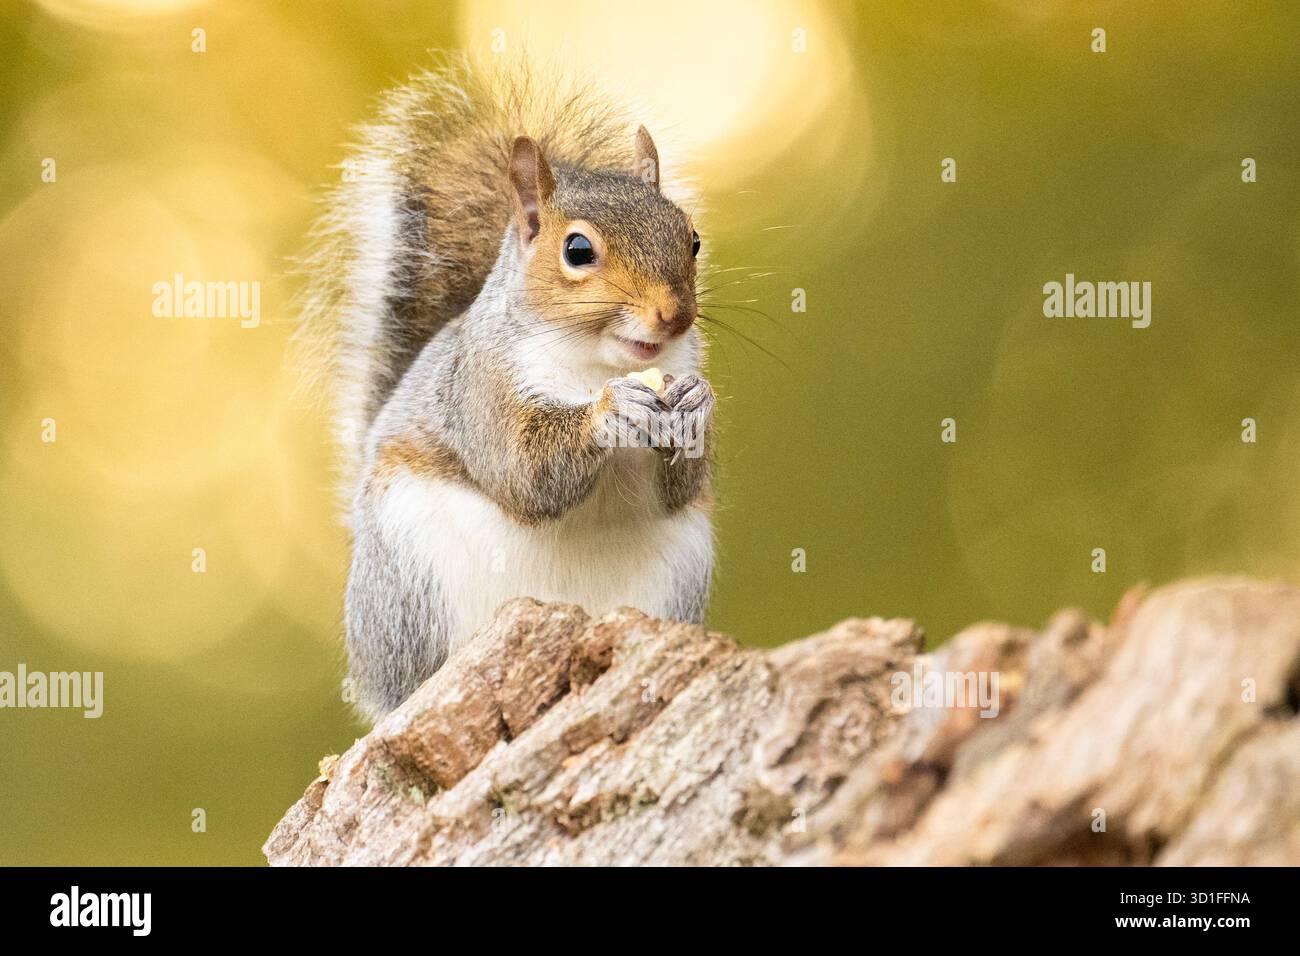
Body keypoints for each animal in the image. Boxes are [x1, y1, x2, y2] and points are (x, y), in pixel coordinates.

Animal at [300, 62, 716, 721]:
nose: (675, 316)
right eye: (578, 250)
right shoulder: (483, 387)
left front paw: (698, 402)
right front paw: (610, 411)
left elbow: (679, 486)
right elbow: (524, 471)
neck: (596, 363)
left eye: (692, 238)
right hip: (411, 584)